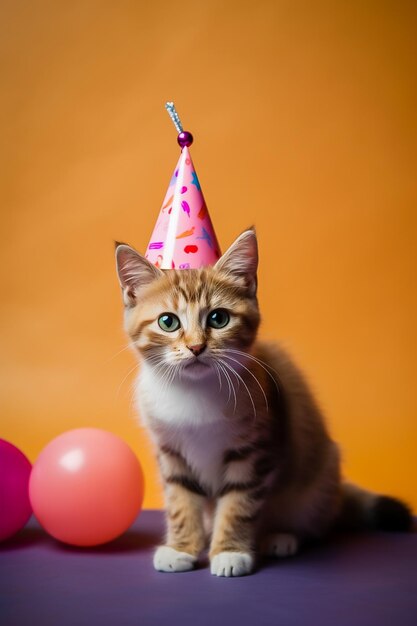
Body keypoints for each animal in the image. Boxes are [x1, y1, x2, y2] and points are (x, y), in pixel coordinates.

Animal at [114, 227, 412, 572]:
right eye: (168, 322)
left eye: (218, 318)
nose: (196, 347)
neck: (193, 392)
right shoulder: (170, 452)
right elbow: (180, 500)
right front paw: (181, 548)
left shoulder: (257, 449)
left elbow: (239, 502)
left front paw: (230, 552)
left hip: (319, 473)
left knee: (314, 522)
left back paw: (281, 537)